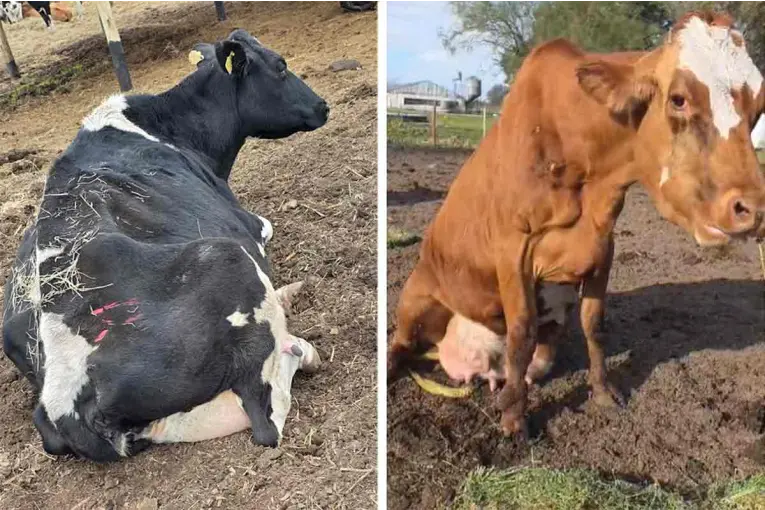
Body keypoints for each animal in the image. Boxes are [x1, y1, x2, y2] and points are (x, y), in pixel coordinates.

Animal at [2, 29, 330, 462]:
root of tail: (65, 401)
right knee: (267, 417)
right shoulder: (247, 224)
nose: (323, 106)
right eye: (280, 66)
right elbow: (266, 225)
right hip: (225, 255)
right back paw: (300, 341)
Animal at [389, 11, 765, 438]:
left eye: (758, 107)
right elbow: (521, 331)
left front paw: (602, 392)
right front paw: (514, 419)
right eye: (679, 99)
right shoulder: (513, 247)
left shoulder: (603, 245)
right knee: (400, 344)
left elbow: (593, 323)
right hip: (415, 299)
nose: (752, 208)